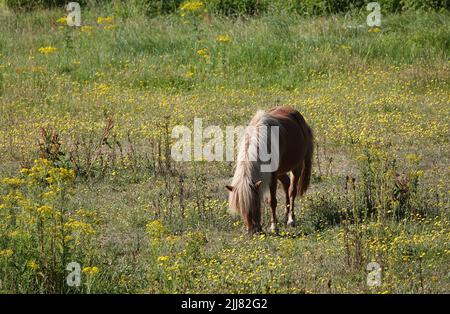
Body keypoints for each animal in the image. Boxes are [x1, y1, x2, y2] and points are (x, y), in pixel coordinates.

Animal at [225, 105, 312, 233]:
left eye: (256, 204)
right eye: (240, 208)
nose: (252, 231)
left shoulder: (272, 176)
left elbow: (272, 201)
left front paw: (274, 227)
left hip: (296, 167)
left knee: (292, 191)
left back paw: (291, 219)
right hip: (281, 171)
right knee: (286, 184)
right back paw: (285, 217)